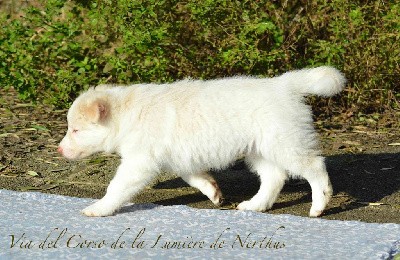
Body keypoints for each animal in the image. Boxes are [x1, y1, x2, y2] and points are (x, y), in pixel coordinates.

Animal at [57, 66, 346, 216]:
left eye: (75, 130)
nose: (59, 150)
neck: (126, 113)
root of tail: (284, 85)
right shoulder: (180, 156)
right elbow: (195, 177)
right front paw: (213, 192)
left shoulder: (139, 162)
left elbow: (116, 187)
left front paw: (99, 208)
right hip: (260, 149)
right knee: (274, 177)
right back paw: (255, 205)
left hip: (285, 143)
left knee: (315, 168)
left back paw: (319, 205)